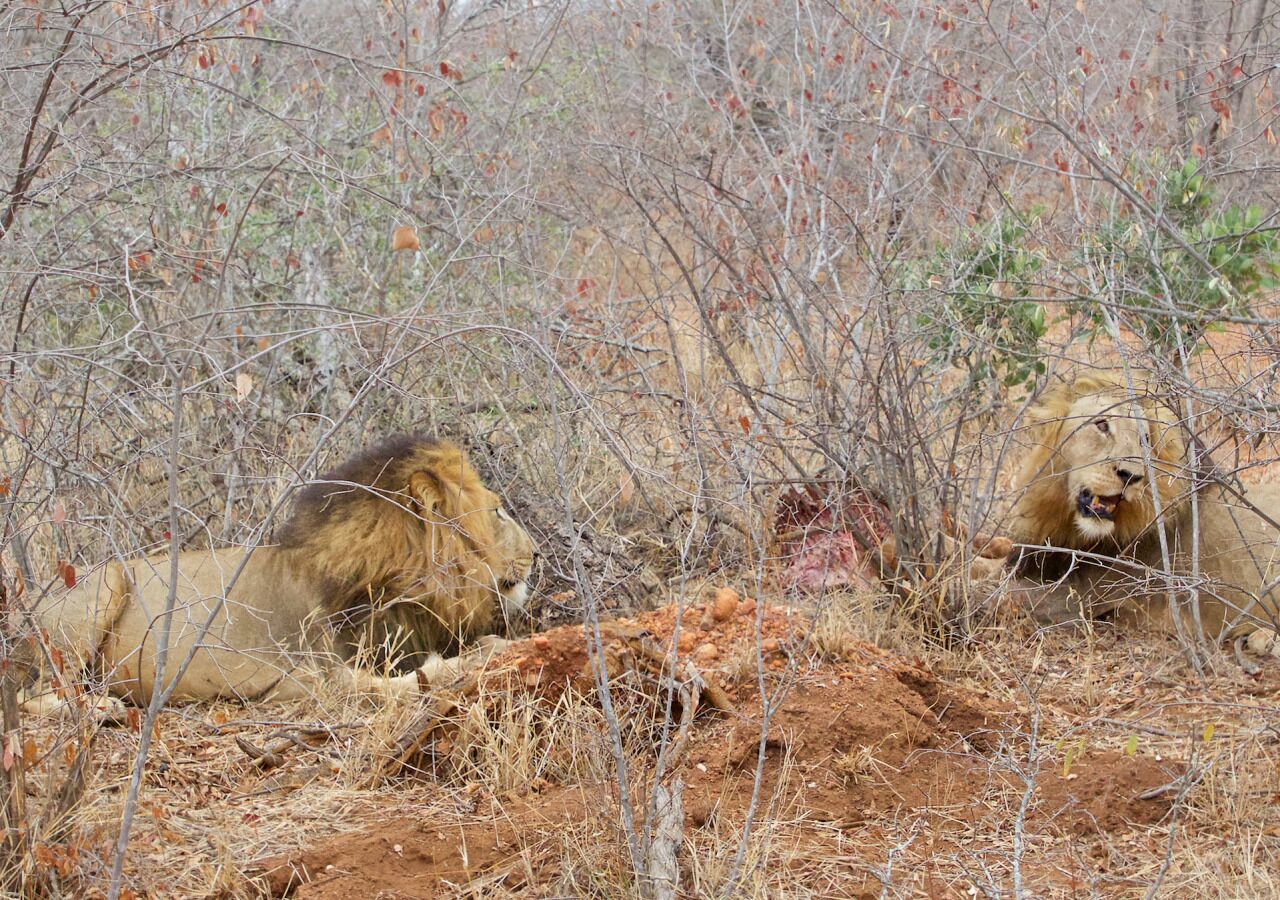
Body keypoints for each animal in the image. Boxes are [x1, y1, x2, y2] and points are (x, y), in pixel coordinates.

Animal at [22, 435, 536, 715]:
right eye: (498, 511)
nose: (536, 553)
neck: (396, 582)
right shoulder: (303, 677)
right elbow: (398, 681)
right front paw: (481, 654)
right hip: (102, 589)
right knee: (34, 696)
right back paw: (101, 709)